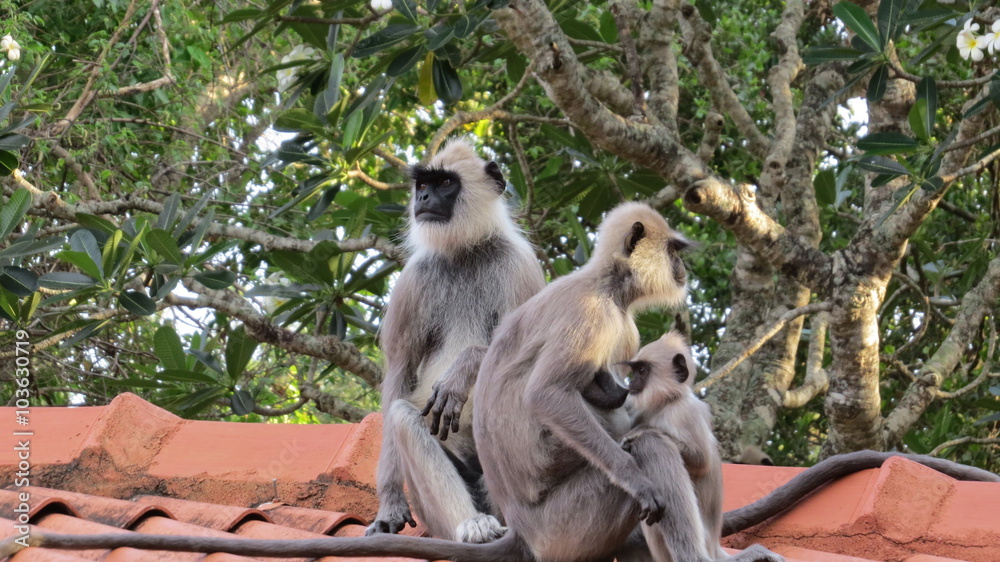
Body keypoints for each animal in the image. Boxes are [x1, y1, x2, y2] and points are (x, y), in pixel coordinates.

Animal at [368, 138, 545, 543]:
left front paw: (462, 369)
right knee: (404, 416)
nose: (423, 198)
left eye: (445, 183)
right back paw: (474, 525)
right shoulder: (413, 280)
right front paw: (390, 505)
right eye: (422, 185)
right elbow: (399, 376)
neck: (464, 251)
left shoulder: (520, 266)